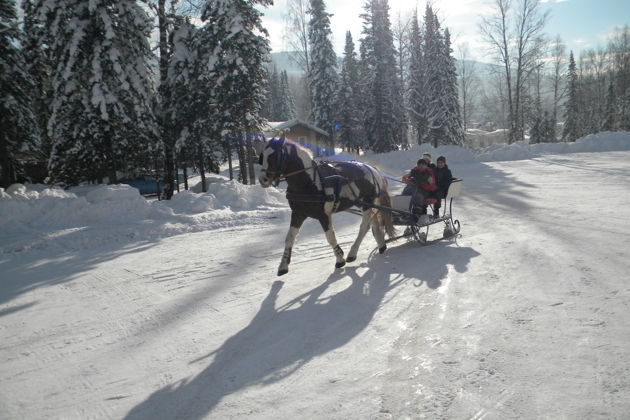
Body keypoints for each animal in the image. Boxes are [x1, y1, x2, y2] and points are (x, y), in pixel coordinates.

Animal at [256, 137, 396, 276]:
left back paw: (352, 253)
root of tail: (372, 169)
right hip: (363, 203)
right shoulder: (298, 213)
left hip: (367, 202)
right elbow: (289, 238)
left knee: (364, 226)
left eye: (275, 156)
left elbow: (330, 237)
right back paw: (381, 245)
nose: (263, 179)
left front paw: (340, 259)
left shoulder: (323, 215)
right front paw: (283, 265)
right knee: (374, 222)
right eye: (262, 156)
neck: (309, 182)